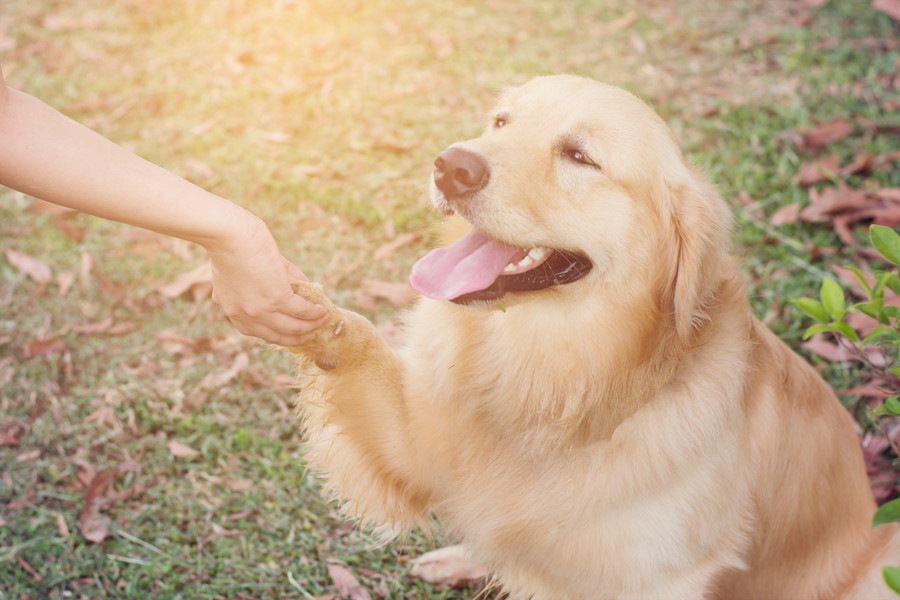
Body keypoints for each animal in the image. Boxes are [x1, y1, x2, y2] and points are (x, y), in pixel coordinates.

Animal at [290, 76, 900, 600]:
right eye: (500, 122)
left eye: (580, 156)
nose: (450, 166)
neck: (564, 371)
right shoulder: (418, 441)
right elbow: (360, 348)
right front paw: (306, 309)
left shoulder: (657, 579)